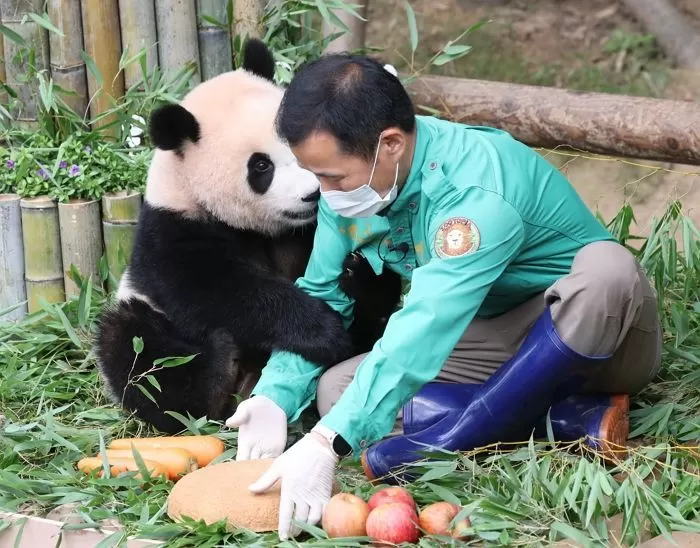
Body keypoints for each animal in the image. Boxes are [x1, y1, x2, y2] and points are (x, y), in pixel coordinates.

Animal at [93, 38, 402, 434]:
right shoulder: (172, 232)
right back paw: (215, 370)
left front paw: (356, 277)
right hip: (146, 317)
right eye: (261, 165)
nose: (312, 195)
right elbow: (221, 293)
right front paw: (321, 331)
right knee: (137, 353)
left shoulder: (308, 231)